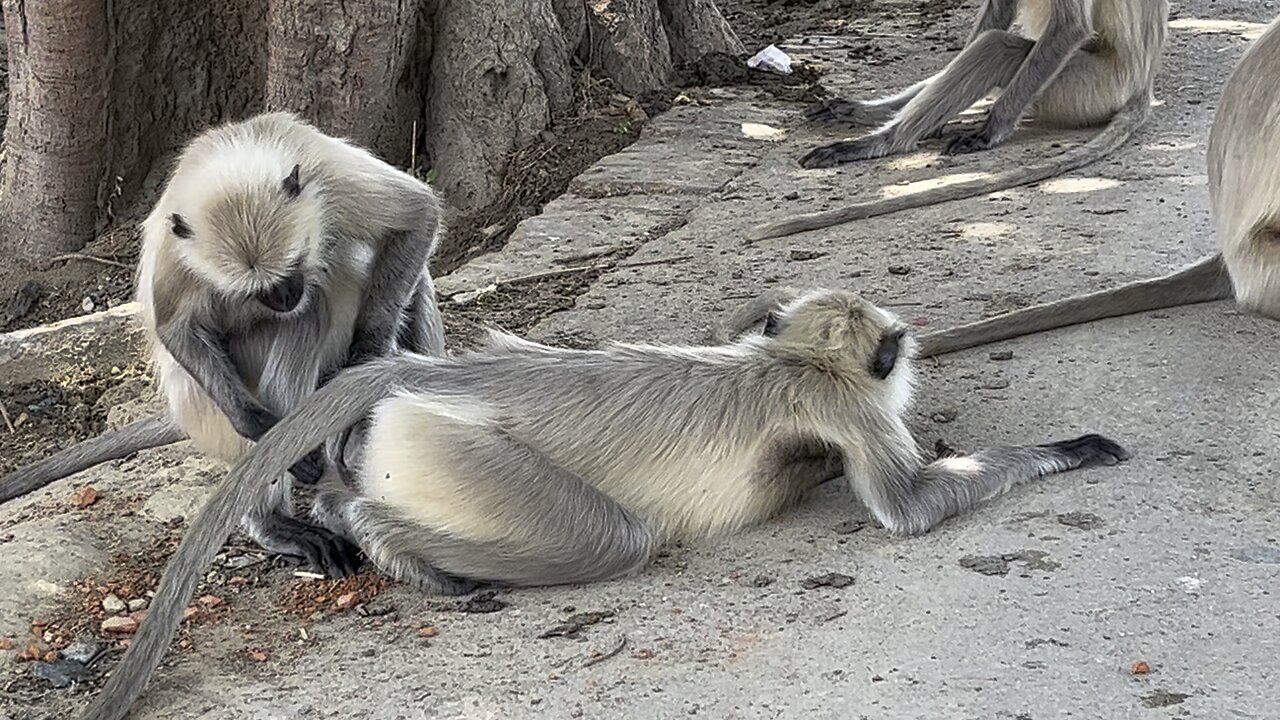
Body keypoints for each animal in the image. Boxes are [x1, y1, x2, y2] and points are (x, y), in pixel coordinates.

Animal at [0, 110, 448, 571]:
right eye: (262, 291)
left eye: (293, 267)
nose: (286, 297)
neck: (233, 162)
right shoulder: (176, 247)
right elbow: (176, 327)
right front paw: (257, 424)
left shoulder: (327, 172)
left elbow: (419, 214)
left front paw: (369, 354)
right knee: (309, 314)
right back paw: (274, 521)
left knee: (408, 283)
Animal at [80, 286, 1126, 717]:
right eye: (892, 354)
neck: (787, 359)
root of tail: (428, 373)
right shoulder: (848, 404)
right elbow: (905, 507)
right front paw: (1071, 448)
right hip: (452, 453)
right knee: (615, 542)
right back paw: (399, 550)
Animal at [747, 0, 1172, 240]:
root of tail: (1142, 85)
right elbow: (999, 10)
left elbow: (1070, 27)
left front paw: (990, 131)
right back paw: (877, 115)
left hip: (1087, 86)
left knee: (997, 47)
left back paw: (882, 142)